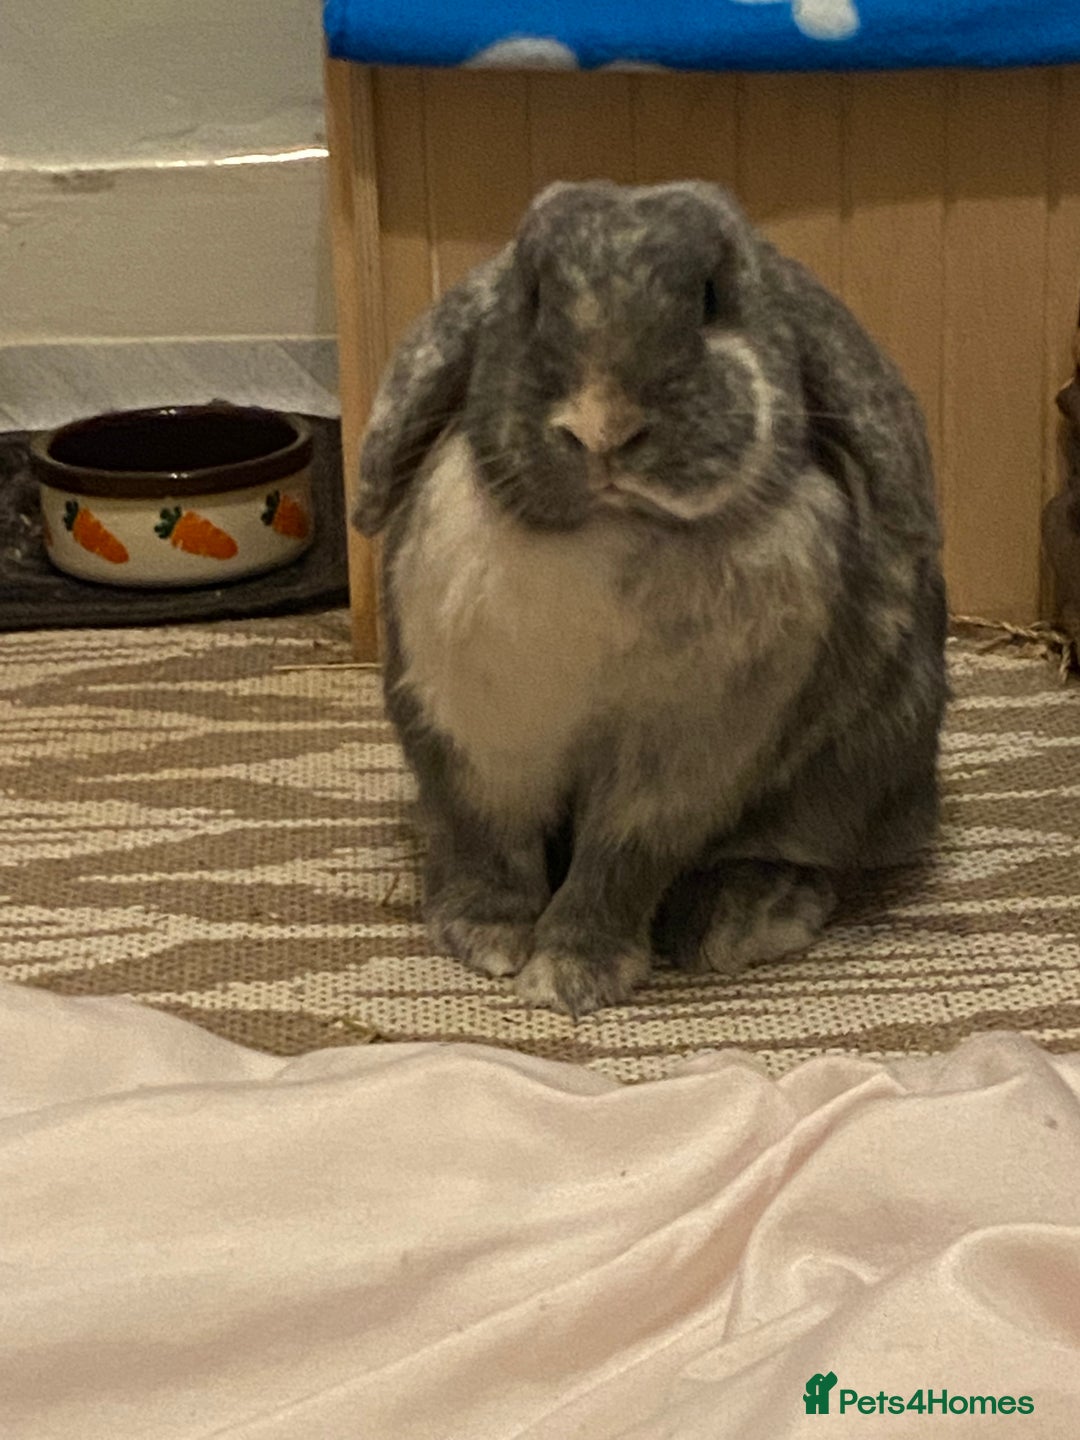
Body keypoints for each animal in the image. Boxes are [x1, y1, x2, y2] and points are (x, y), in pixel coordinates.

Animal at [355, 180, 947, 1016]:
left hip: (856, 772)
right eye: (532, 297)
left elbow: (617, 867)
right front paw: (486, 939)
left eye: (710, 297)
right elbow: (489, 841)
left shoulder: (679, 768)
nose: (601, 428)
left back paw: (743, 917)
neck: (608, 533)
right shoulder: (480, 740)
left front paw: (571, 974)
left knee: (799, 847)